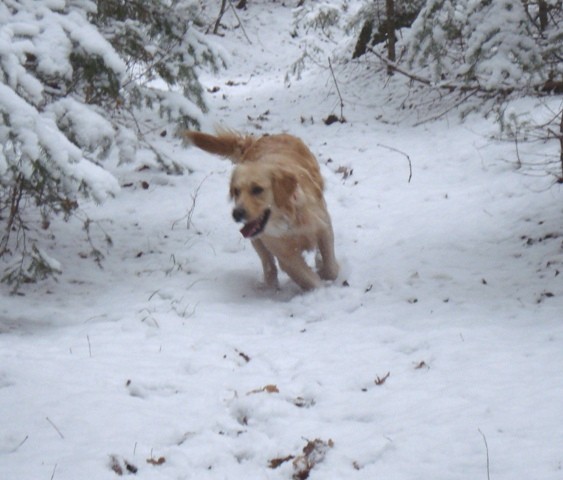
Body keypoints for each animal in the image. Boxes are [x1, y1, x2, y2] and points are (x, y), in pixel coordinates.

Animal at [184, 129, 340, 290]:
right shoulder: (285, 254)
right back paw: (271, 287)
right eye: (236, 191)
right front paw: (319, 287)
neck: (288, 219)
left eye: (257, 189)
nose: (237, 213)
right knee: (267, 263)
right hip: (257, 240)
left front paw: (324, 271)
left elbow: (330, 267)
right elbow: (309, 279)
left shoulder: (323, 228)